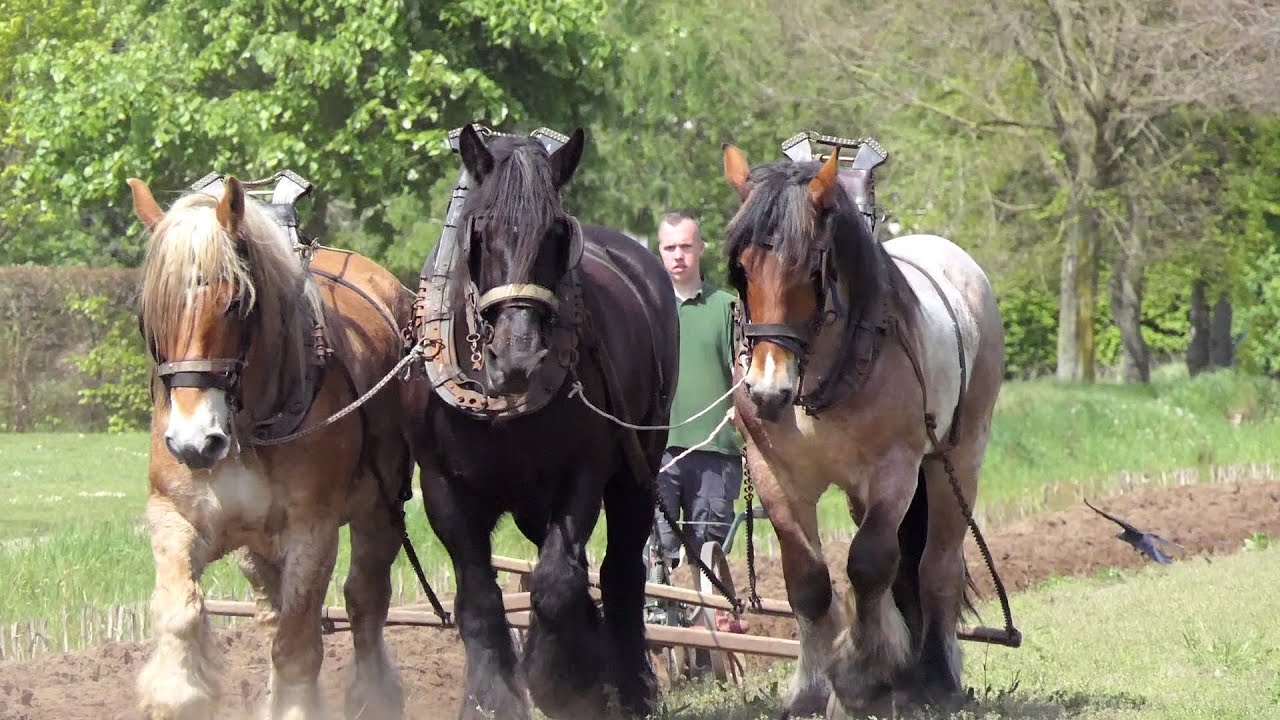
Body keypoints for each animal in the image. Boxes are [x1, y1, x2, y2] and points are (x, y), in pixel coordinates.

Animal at [127, 175, 416, 720]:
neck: (246, 429)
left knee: (364, 600)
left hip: (382, 508)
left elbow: (299, 645)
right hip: (256, 544)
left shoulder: (312, 531)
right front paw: (178, 692)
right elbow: (182, 612)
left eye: (235, 302)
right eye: (150, 312)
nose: (194, 442)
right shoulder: (174, 515)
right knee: (270, 613)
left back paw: (374, 696)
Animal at [400, 124, 679, 720]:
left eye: (556, 233)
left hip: (638, 464)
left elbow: (555, 581)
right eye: (480, 231)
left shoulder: (583, 471)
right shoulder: (442, 486)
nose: (519, 359)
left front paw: (560, 683)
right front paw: (490, 699)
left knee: (621, 570)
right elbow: (479, 595)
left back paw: (628, 685)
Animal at [719, 143, 1005, 718]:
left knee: (935, 566)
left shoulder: (895, 467)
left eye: (812, 266)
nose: (766, 391)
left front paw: (861, 678)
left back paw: (934, 675)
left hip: (956, 457)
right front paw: (811, 689)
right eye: (740, 269)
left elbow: (870, 562)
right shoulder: (774, 476)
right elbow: (807, 580)